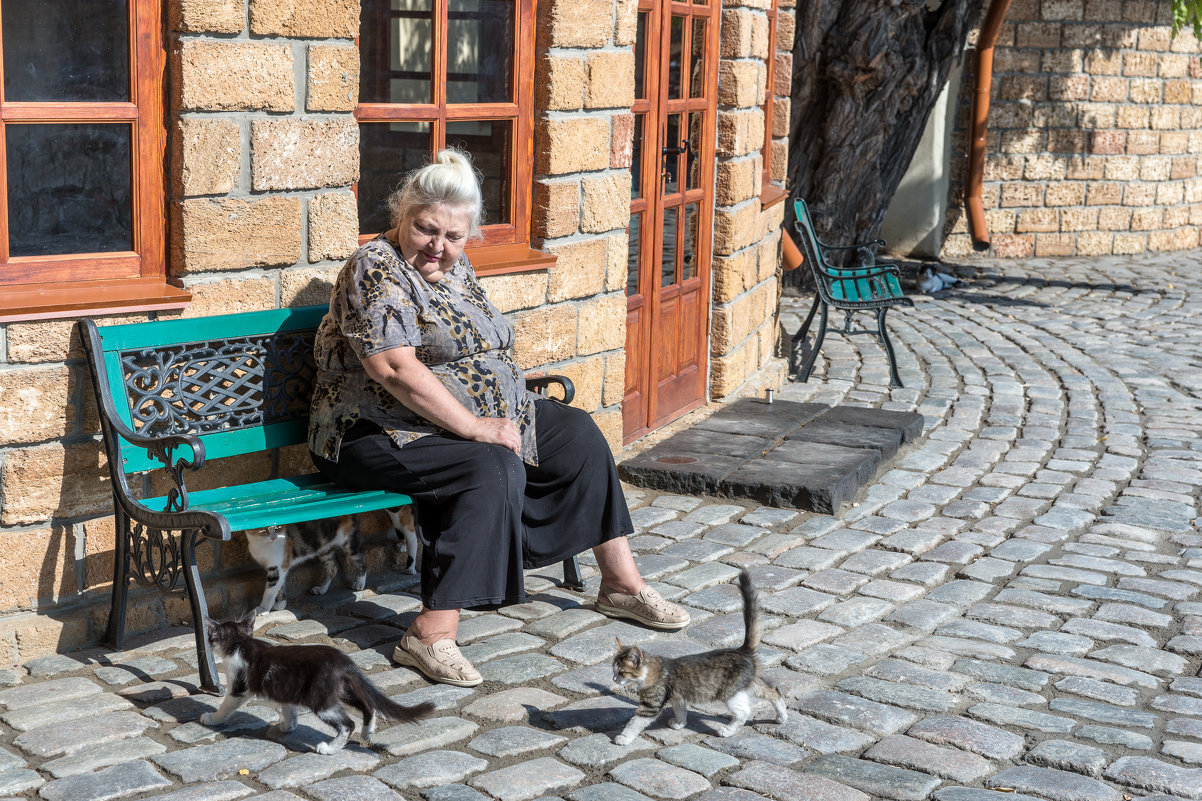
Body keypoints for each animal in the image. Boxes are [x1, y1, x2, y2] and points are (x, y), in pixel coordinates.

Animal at [200, 608, 432, 750]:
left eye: (211, 637)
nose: (208, 644)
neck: (240, 643)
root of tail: (343, 660)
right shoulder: (286, 688)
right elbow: (289, 709)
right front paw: (288, 726)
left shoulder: (239, 686)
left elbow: (227, 705)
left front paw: (211, 718)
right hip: (341, 689)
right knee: (368, 706)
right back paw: (368, 732)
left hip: (320, 699)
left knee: (347, 724)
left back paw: (330, 748)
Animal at [244, 505, 418, 610]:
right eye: (263, 530)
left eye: (278, 528)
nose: (274, 537)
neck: (261, 545)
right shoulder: (278, 567)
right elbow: (280, 587)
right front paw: (280, 604)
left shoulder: (278, 567)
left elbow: (270, 590)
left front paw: (263, 609)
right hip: (324, 548)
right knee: (333, 567)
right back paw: (321, 589)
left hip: (348, 542)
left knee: (362, 559)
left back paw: (359, 583)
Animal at [610, 567, 788, 740]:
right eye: (614, 671)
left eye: (622, 672)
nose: (614, 679)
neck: (650, 671)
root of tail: (742, 650)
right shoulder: (677, 698)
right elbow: (681, 711)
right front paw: (679, 724)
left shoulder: (651, 704)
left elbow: (635, 722)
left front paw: (623, 738)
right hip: (748, 684)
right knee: (773, 691)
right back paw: (782, 717)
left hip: (730, 694)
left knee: (743, 712)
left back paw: (727, 731)